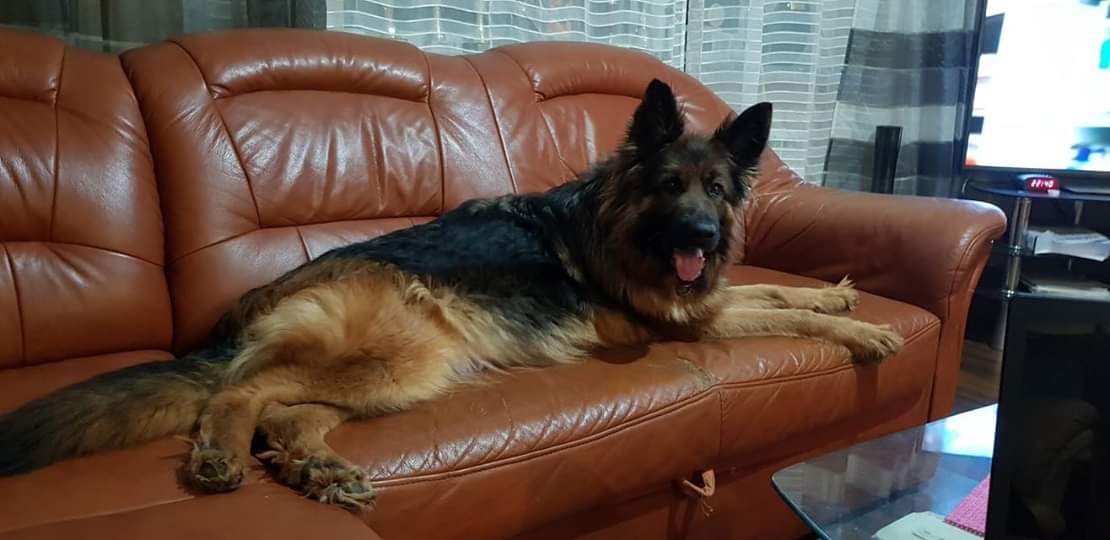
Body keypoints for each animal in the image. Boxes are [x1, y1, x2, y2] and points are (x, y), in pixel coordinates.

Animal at [0, 79, 903, 509]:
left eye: (717, 189)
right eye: (670, 187)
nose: (703, 238)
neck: (617, 223)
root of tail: (246, 310)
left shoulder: (707, 300)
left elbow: (771, 295)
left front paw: (839, 299)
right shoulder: (691, 327)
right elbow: (770, 316)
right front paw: (861, 335)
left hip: (399, 375)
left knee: (284, 412)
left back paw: (320, 470)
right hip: (399, 355)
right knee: (240, 393)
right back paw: (223, 455)